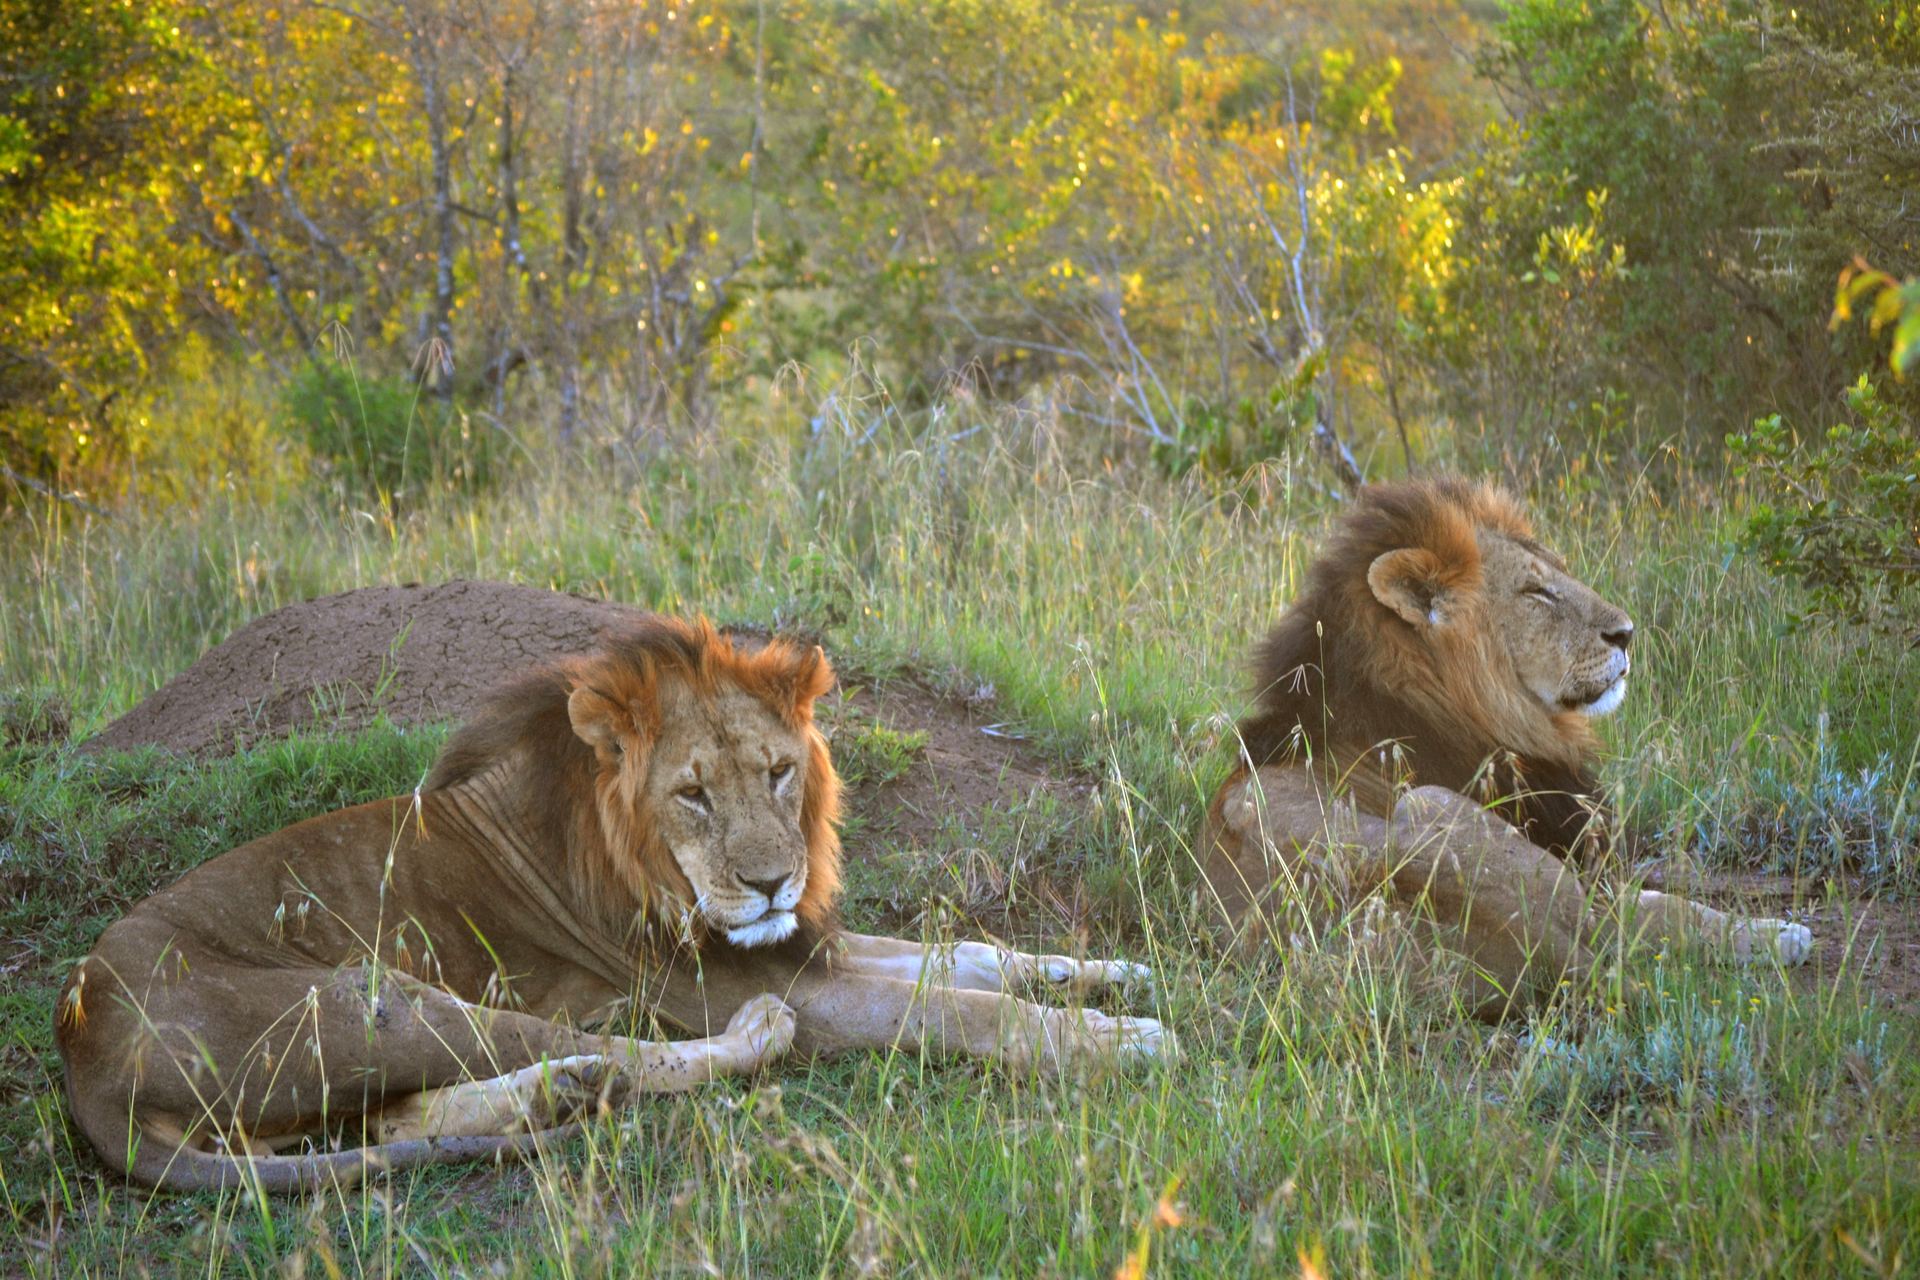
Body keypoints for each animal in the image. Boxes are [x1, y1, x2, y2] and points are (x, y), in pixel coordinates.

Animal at [58, 618, 1162, 1192]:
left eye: (778, 772)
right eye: (693, 793)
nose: (773, 882)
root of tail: (82, 1052)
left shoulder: (811, 945)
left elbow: (969, 953)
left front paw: (1117, 975)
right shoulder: (781, 981)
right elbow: (958, 1005)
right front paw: (1120, 1040)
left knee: (402, 1113)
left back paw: (561, 1092)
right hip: (376, 995)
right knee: (634, 1053)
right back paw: (675, 1055)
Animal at [1198, 478, 1811, 1018]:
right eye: (1536, 592)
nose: (1627, 633)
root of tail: (1538, 945)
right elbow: (1662, 901)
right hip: (1438, 807)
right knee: (1626, 925)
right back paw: (1775, 936)